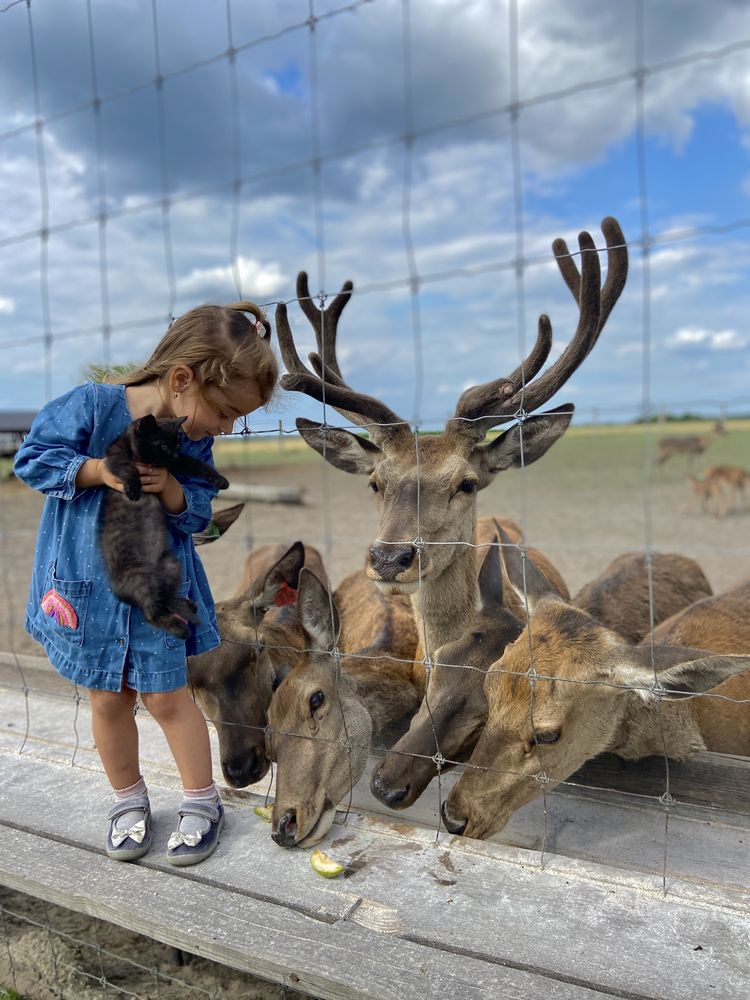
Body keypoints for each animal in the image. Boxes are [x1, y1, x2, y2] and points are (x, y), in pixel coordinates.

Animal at [101, 416, 229, 640]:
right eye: (162, 446)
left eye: (177, 445)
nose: (174, 455)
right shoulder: (115, 456)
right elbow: (128, 468)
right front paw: (133, 488)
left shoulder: (179, 463)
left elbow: (196, 463)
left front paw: (220, 479)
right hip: (140, 577)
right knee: (151, 613)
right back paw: (180, 629)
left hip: (170, 565)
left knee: (165, 599)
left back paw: (186, 606)